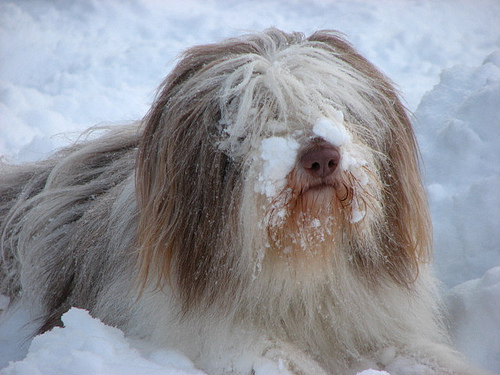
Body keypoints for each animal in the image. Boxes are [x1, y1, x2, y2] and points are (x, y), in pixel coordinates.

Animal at [0, 29, 484, 375]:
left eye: (337, 108)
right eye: (255, 118)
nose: (322, 157)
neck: (302, 256)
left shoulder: (377, 323)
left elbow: (422, 354)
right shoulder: (212, 335)